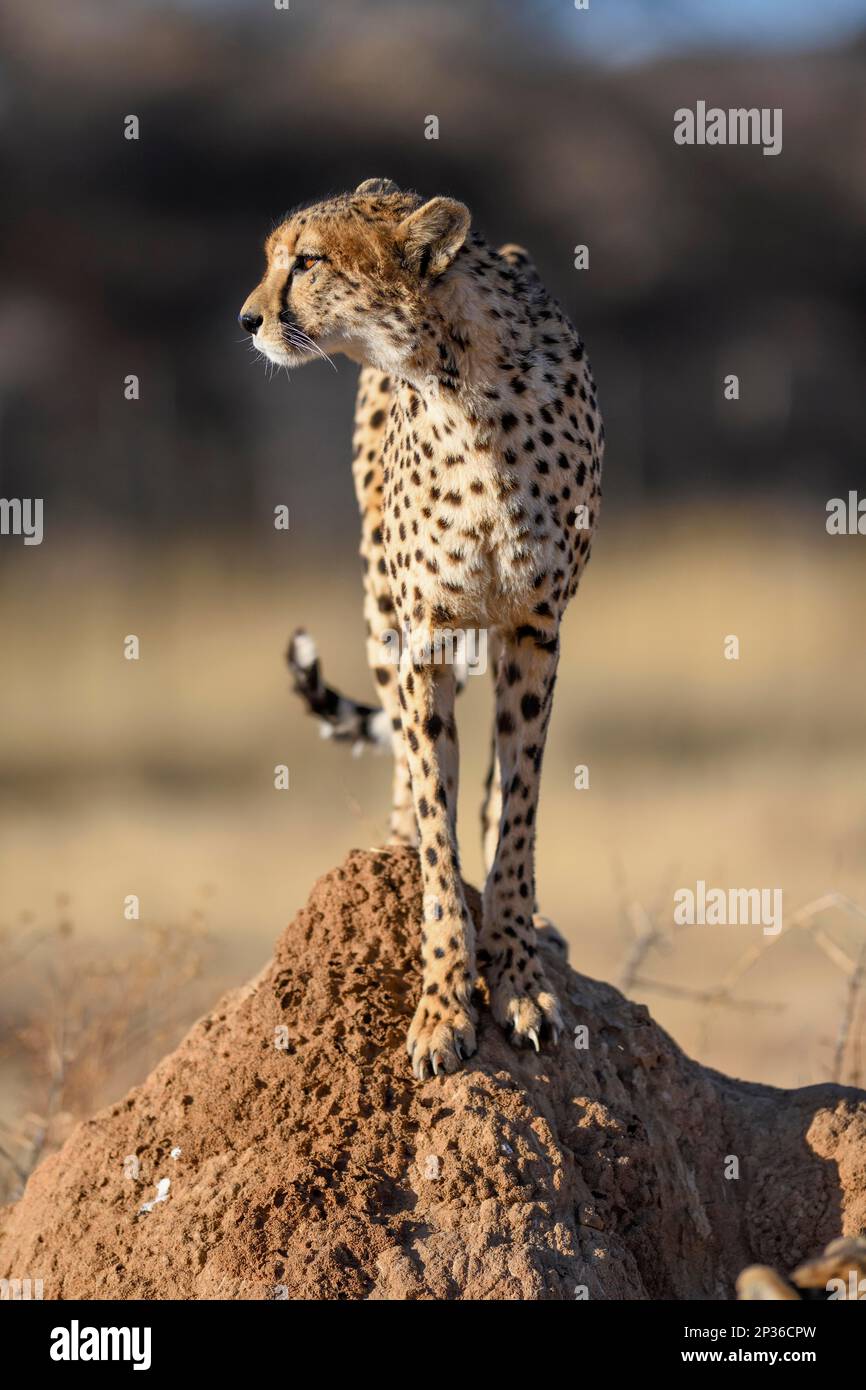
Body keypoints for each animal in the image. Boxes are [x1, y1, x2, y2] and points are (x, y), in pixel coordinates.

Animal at [237, 179, 603, 1078]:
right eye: (273, 257)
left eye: (308, 260)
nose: (247, 319)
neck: (463, 384)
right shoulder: (425, 636)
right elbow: (439, 823)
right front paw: (443, 1003)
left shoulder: (535, 631)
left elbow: (517, 809)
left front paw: (519, 974)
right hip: (380, 612)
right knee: (405, 764)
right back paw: (395, 851)